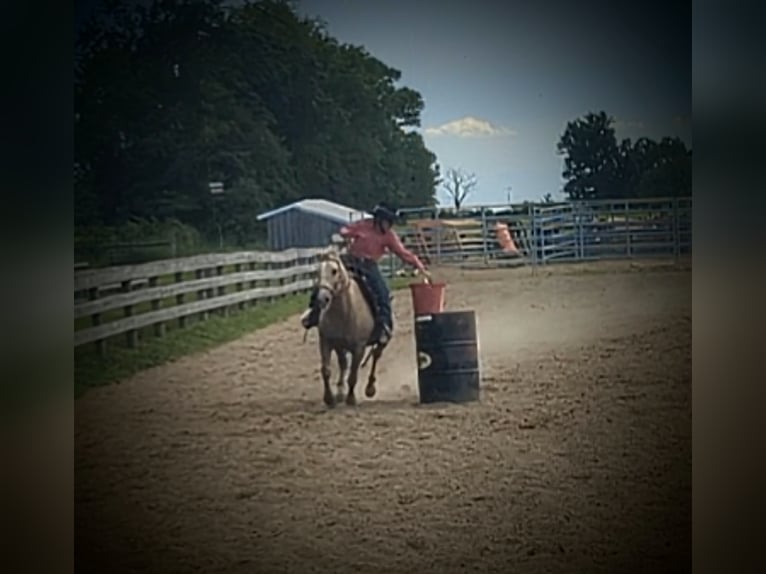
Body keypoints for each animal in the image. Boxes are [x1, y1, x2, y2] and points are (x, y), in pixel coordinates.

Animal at [312, 250, 388, 408]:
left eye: (334, 271)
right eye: (317, 271)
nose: (321, 299)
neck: (344, 312)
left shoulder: (359, 347)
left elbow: (353, 375)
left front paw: (351, 399)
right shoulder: (326, 342)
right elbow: (326, 370)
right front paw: (329, 398)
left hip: (381, 341)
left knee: (376, 356)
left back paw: (370, 388)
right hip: (340, 346)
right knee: (343, 364)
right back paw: (340, 392)